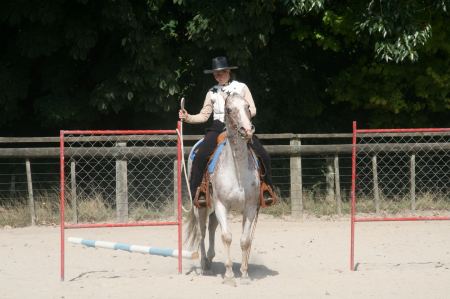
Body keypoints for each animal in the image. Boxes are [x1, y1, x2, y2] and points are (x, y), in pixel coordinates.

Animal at [185, 92, 260, 284]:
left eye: (247, 106)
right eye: (229, 109)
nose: (247, 130)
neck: (237, 172)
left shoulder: (250, 207)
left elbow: (245, 240)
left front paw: (244, 274)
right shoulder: (221, 205)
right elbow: (226, 237)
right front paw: (229, 275)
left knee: (212, 226)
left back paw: (211, 260)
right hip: (200, 206)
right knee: (202, 232)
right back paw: (204, 265)